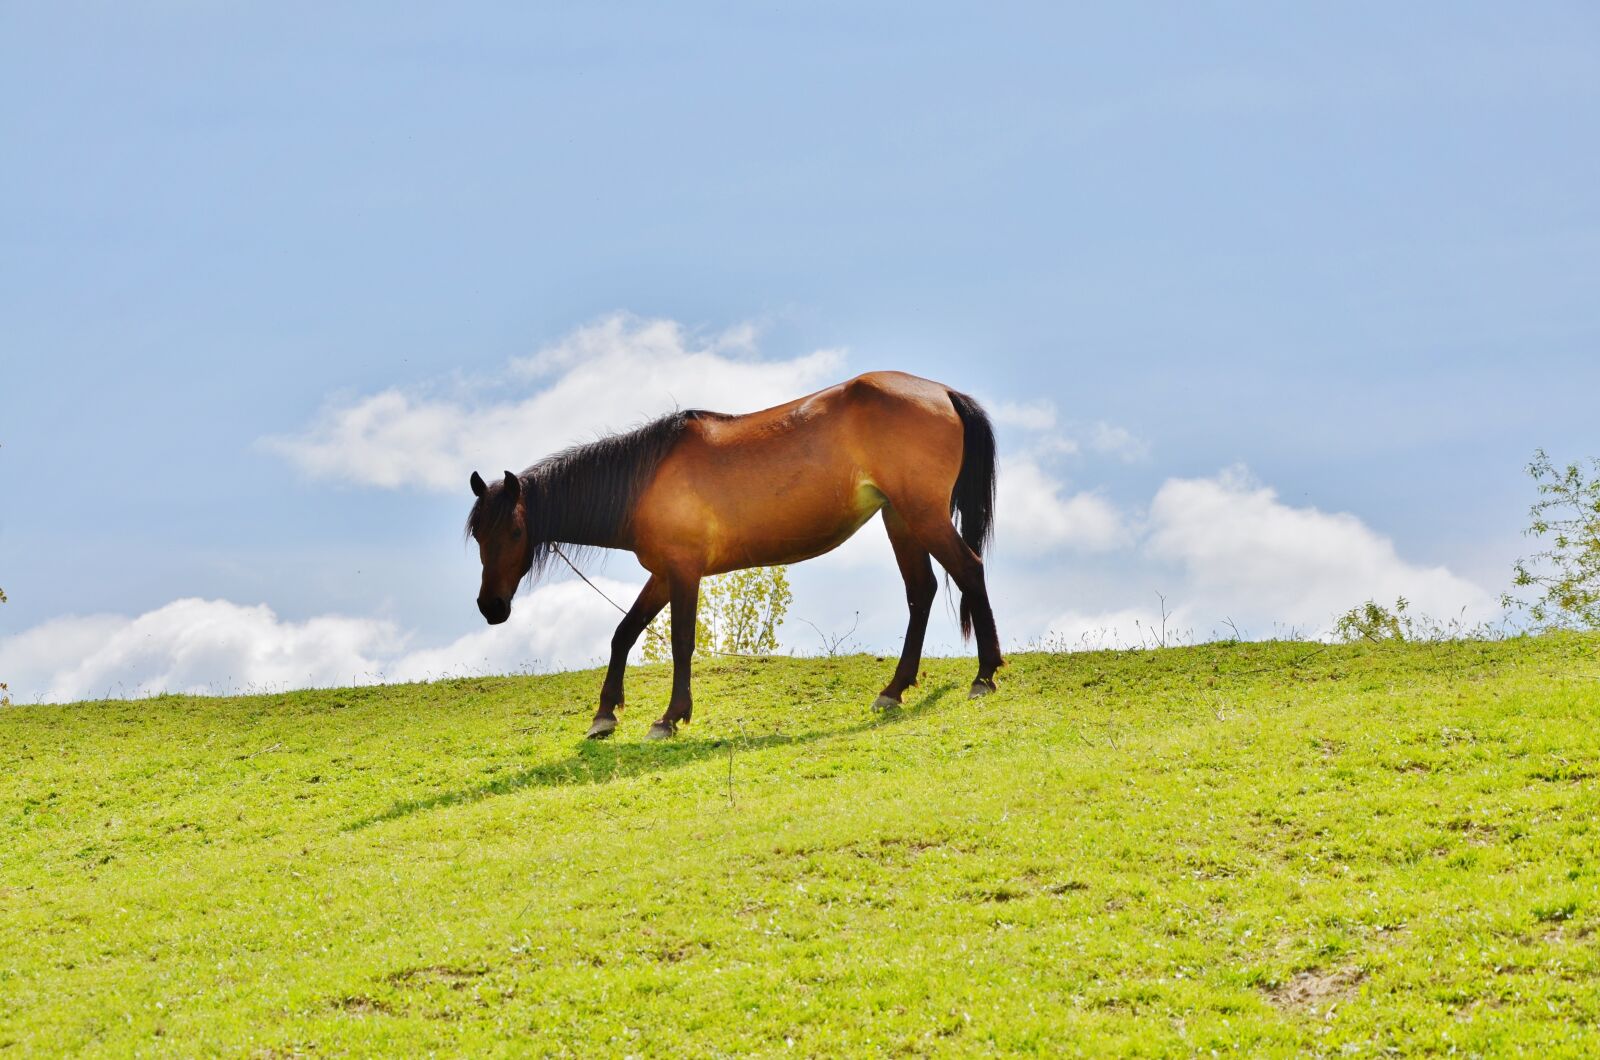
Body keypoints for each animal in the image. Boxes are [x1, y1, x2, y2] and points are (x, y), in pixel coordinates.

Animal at [466, 370, 1002, 740]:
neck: (645, 480)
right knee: (922, 592)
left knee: (969, 571)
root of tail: (942, 392)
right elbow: (624, 633)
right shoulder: (663, 574)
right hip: (899, 518)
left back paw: (985, 675)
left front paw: (670, 717)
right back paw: (894, 690)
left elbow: (681, 642)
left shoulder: (684, 573)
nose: (491, 607)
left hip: (922, 516)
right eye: (477, 536)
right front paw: (604, 715)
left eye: (515, 530)